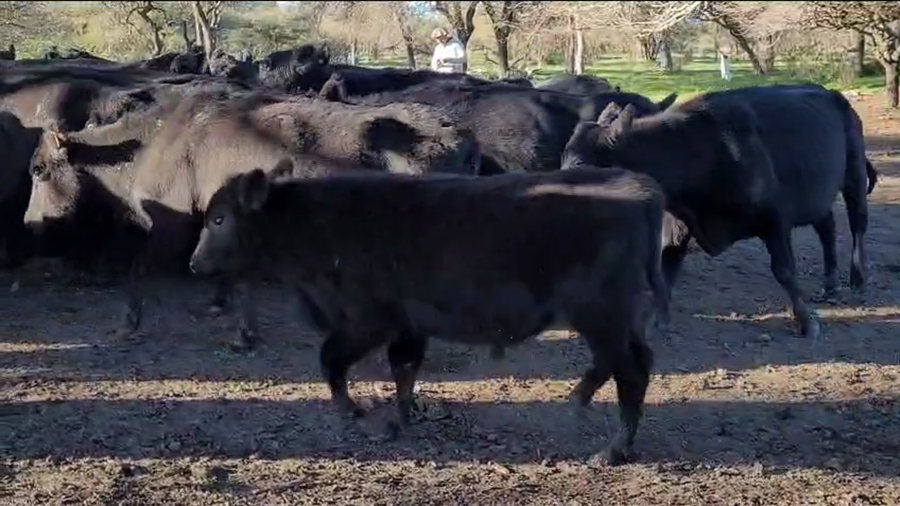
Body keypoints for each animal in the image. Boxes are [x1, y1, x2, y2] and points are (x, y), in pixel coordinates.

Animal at [188, 159, 670, 465]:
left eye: (219, 220)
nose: (194, 264)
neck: (316, 220)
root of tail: (639, 188)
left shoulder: (365, 320)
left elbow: (330, 359)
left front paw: (354, 412)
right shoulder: (407, 327)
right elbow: (404, 371)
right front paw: (398, 421)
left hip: (601, 316)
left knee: (629, 371)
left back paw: (609, 451)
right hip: (613, 320)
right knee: (630, 362)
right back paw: (582, 403)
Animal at [562, 84, 878, 340]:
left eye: (581, 166)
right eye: (564, 157)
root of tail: (834, 96)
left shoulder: (775, 220)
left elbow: (785, 271)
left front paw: (807, 323)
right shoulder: (678, 226)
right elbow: (666, 271)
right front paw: (654, 322)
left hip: (853, 175)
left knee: (858, 223)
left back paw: (858, 277)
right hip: (818, 197)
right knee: (827, 228)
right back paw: (831, 283)